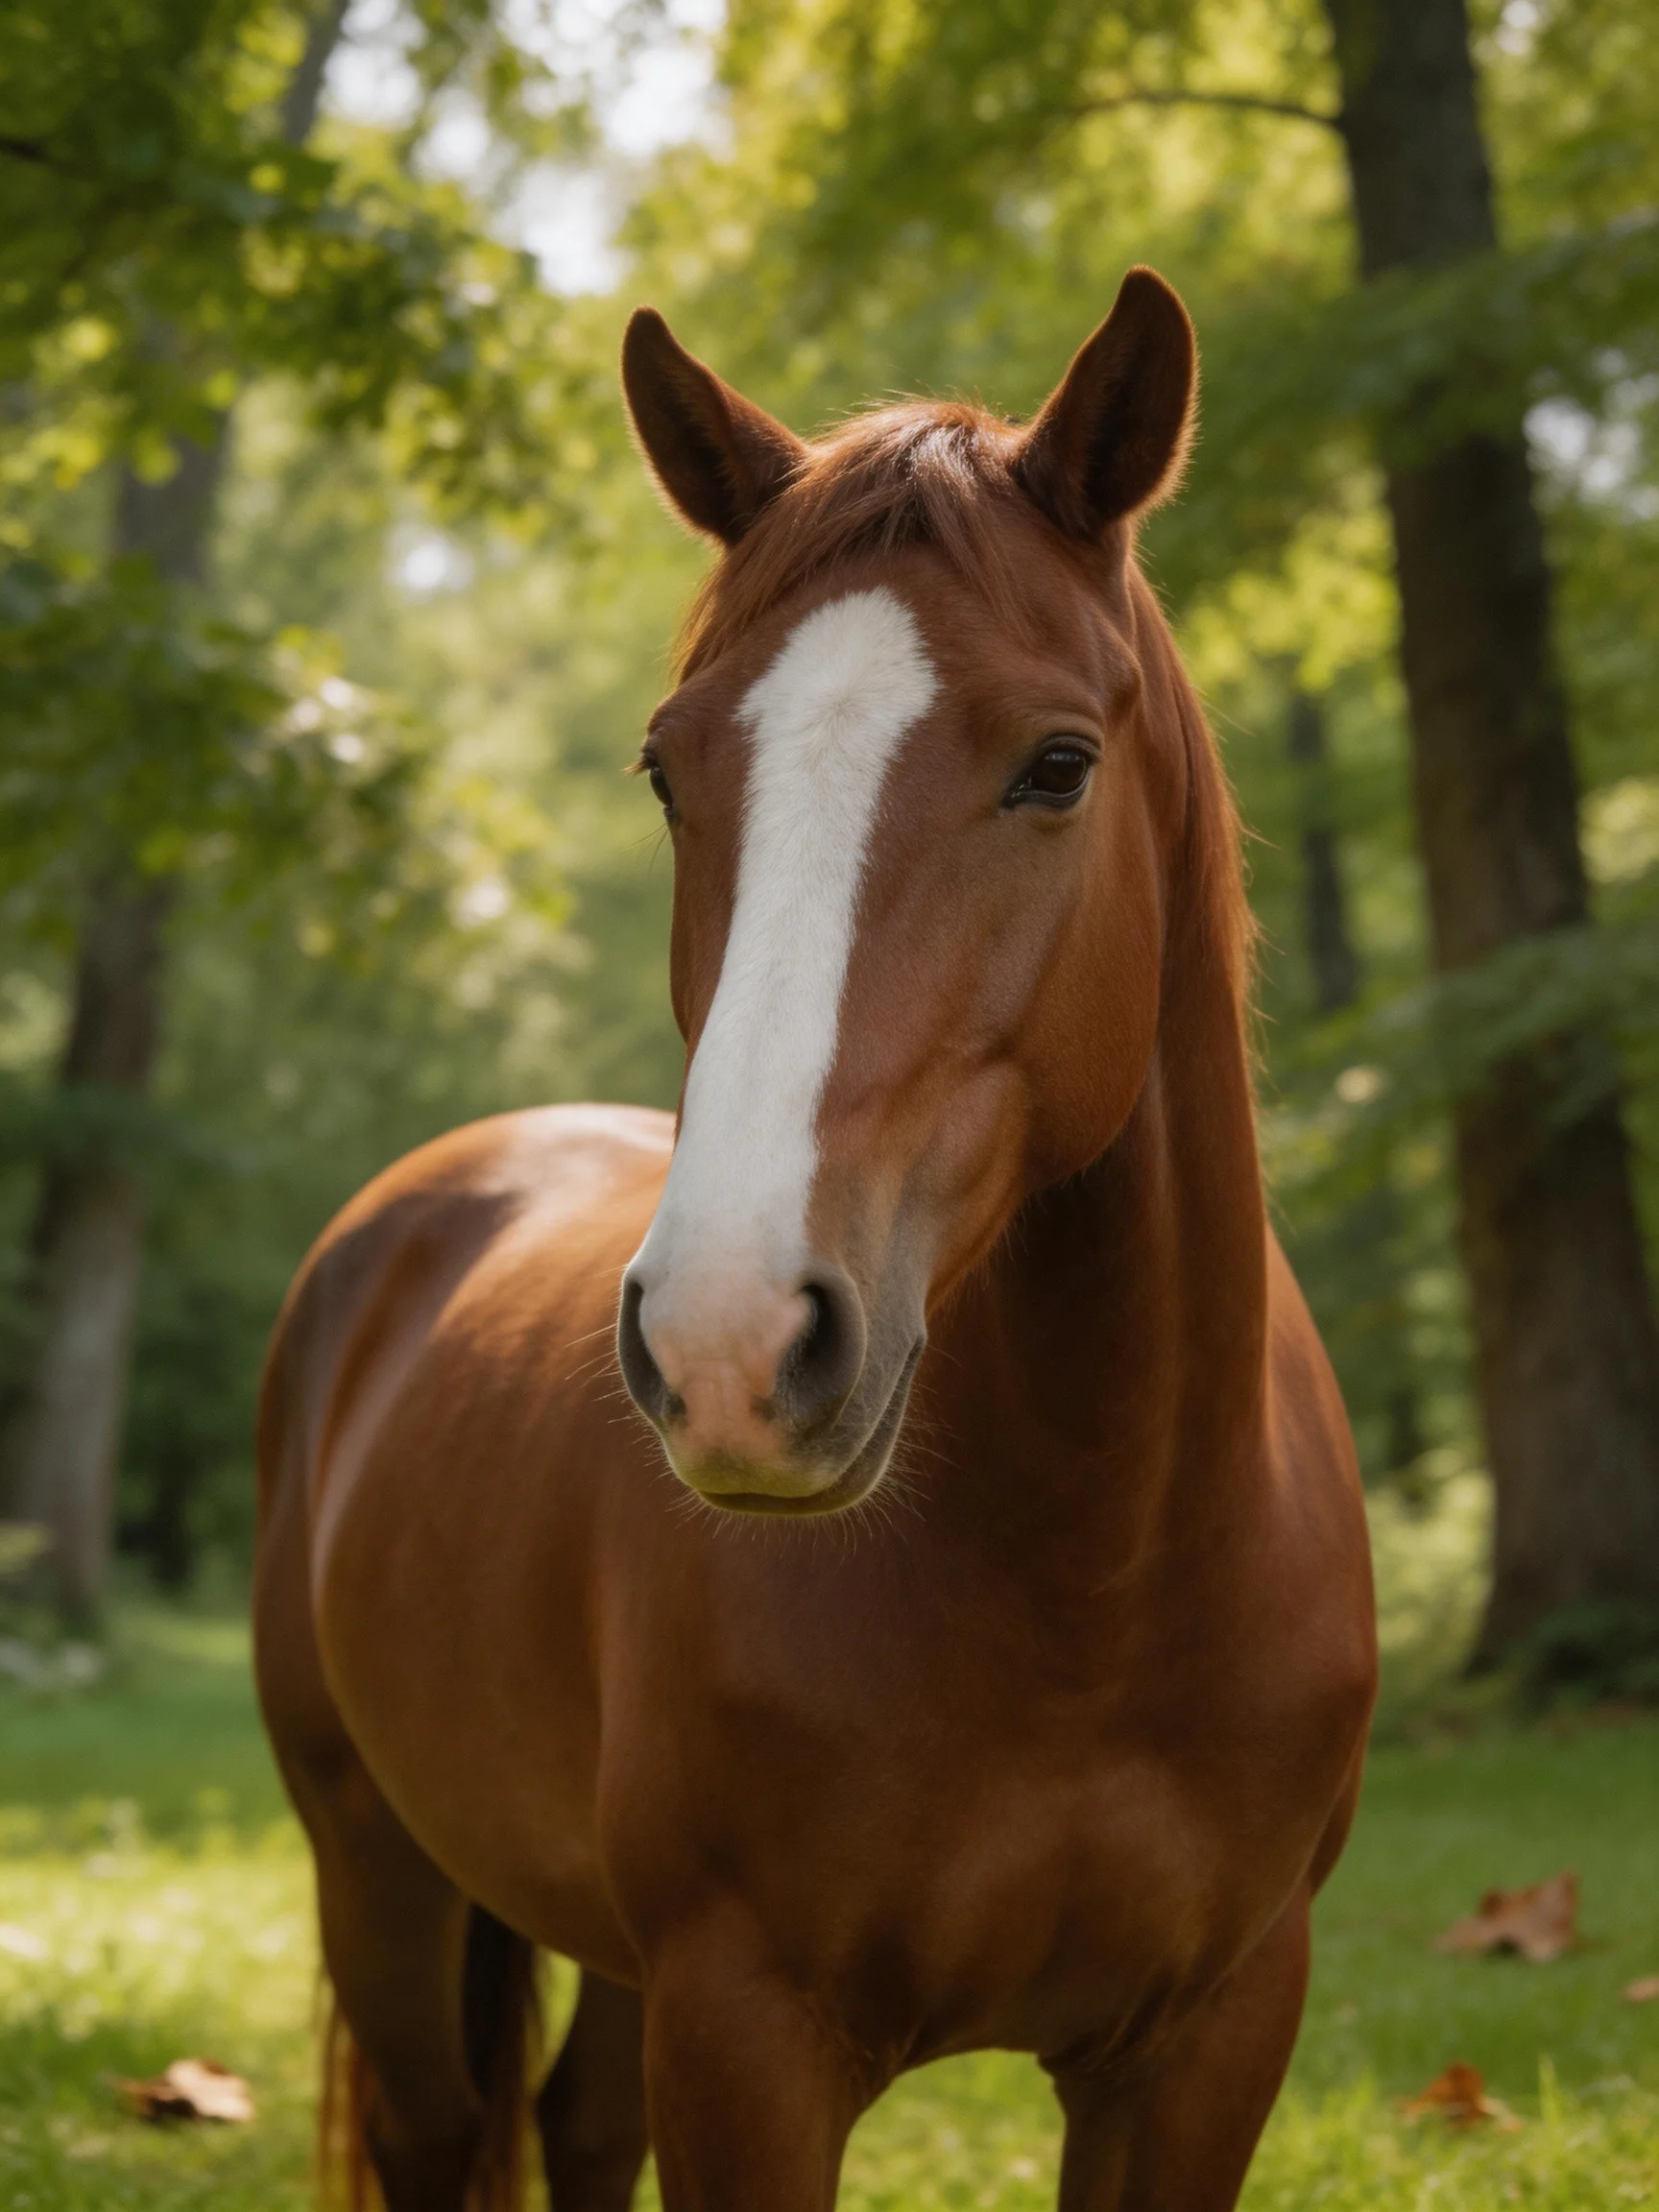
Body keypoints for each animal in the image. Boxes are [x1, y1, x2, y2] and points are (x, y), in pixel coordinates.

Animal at [254, 265, 1376, 2212]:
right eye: (664, 768)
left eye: (1057, 765)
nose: (725, 1345)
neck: (1100, 1584)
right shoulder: (753, 2039)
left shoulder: (1208, 2042)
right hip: (372, 1863)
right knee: (439, 2125)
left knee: (577, 2125)